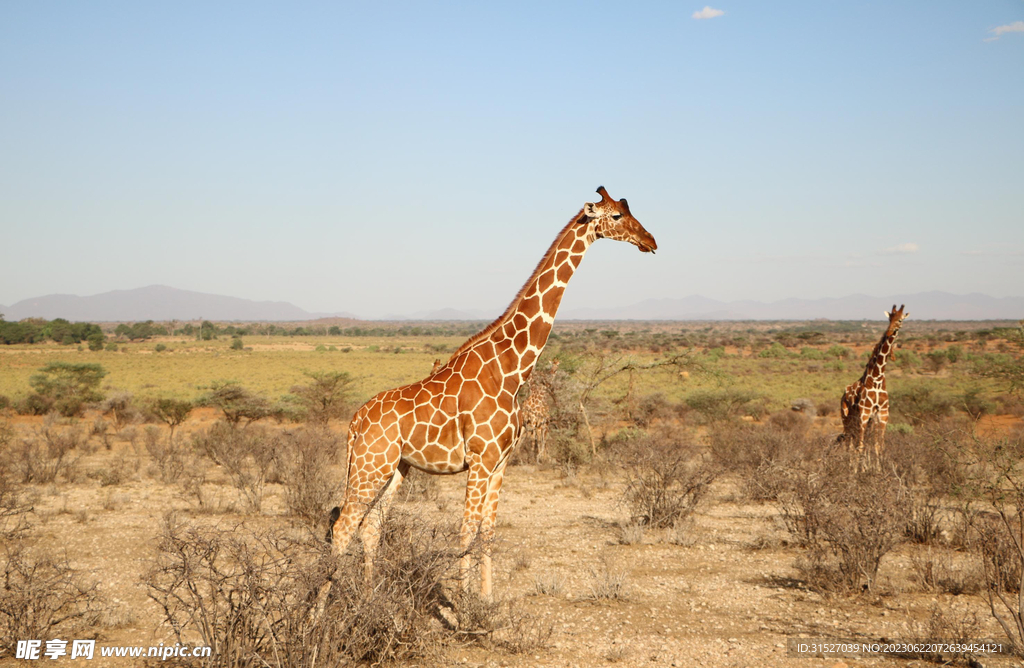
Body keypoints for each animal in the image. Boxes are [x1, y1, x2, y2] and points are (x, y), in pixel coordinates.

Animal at [321, 185, 655, 598]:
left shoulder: (500, 463)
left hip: (396, 467)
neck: (511, 369)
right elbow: (466, 528)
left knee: (370, 526)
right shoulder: (480, 459)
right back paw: (320, 611)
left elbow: (488, 530)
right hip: (370, 465)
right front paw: (463, 604)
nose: (650, 241)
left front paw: (487, 599)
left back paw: (371, 599)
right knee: (342, 525)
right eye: (617, 217)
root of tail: (354, 422)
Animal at [835, 305, 909, 467]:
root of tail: (843, 395)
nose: (889, 332)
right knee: (850, 443)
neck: (877, 379)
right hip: (847, 418)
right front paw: (859, 472)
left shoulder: (882, 415)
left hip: (865, 422)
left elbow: (878, 446)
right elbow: (860, 446)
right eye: (889, 318)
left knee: (857, 442)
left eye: (900, 320)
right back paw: (850, 468)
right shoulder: (864, 415)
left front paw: (879, 470)